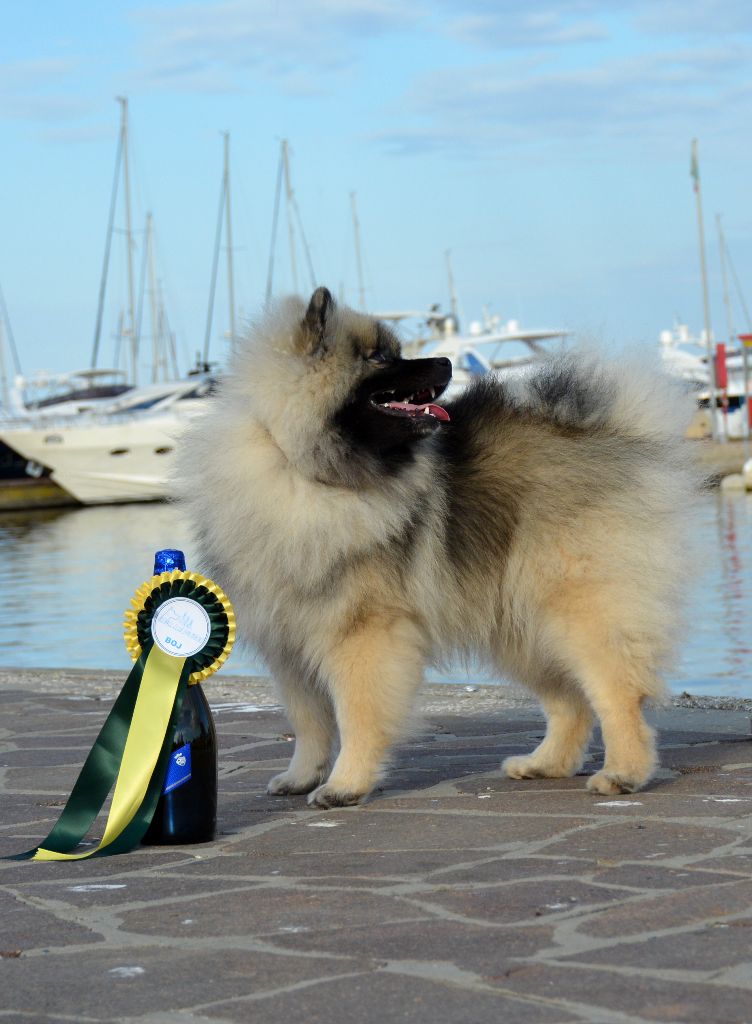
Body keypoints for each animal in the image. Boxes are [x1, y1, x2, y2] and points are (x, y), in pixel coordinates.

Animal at [174, 286, 696, 806]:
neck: (300, 471)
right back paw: (545, 764)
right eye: (380, 357)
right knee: (569, 701)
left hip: (576, 611)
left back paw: (623, 773)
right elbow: (310, 724)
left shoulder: (363, 636)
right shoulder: (289, 645)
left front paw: (344, 785)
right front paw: (301, 776)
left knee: (616, 694)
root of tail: (617, 433)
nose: (445, 360)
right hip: (521, 622)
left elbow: (356, 717)